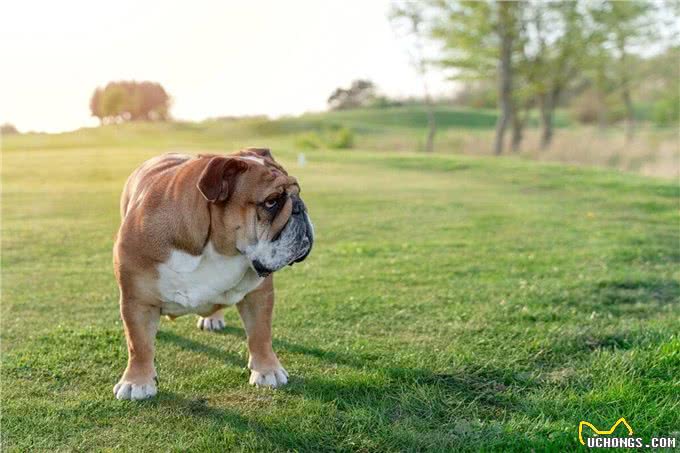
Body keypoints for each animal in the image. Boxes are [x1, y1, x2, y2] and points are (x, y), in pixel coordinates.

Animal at [112, 148, 314, 400]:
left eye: (298, 192)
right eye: (271, 202)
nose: (300, 207)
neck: (214, 247)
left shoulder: (259, 294)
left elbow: (260, 334)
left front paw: (268, 370)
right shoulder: (137, 300)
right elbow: (138, 344)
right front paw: (136, 382)